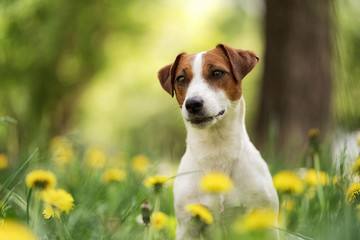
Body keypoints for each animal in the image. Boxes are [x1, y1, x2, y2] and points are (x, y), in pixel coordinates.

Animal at [157, 44, 278, 239]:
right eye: (181, 79)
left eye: (217, 73)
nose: (192, 103)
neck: (216, 150)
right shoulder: (188, 225)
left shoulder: (265, 222)